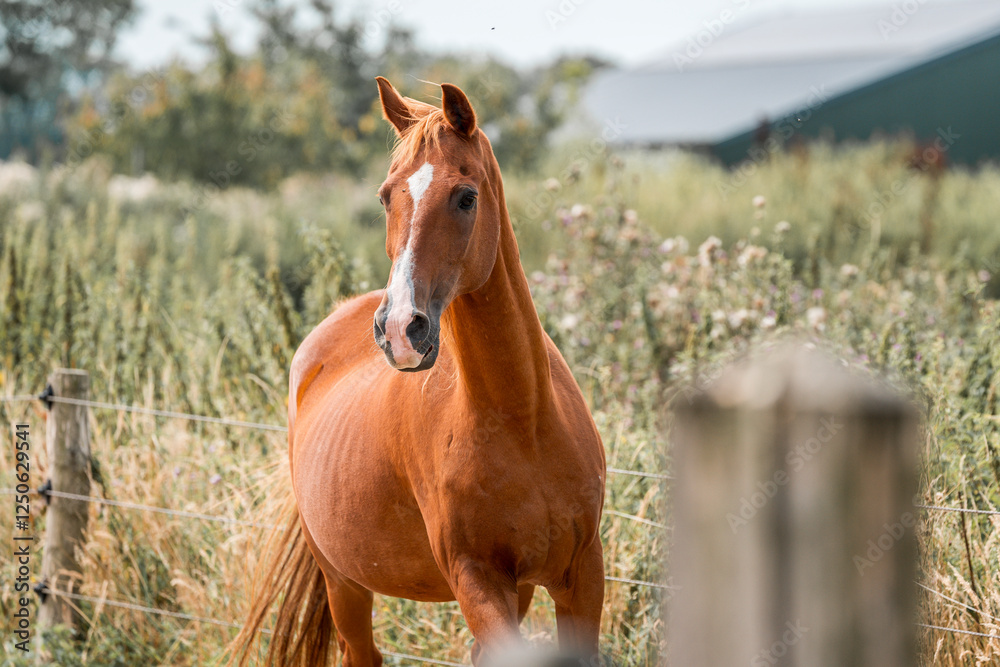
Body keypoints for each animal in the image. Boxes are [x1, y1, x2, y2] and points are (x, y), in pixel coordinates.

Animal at [230, 77, 606, 667]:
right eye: (386, 196)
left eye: (466, 196)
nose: (401, 328)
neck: (522, 419)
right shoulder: (478, 583)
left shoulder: (582, 576)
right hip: (344, 584)